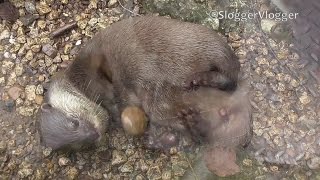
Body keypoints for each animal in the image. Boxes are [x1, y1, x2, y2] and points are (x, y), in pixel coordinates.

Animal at [40, 15, 241, 150]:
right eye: (79, 145)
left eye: (74, 122)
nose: (93, 134)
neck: (80, 82)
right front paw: (161, 140)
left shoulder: (91, 64)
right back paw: (194, 123)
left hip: (203, 45)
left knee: (231, 74)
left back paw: (201, 79)